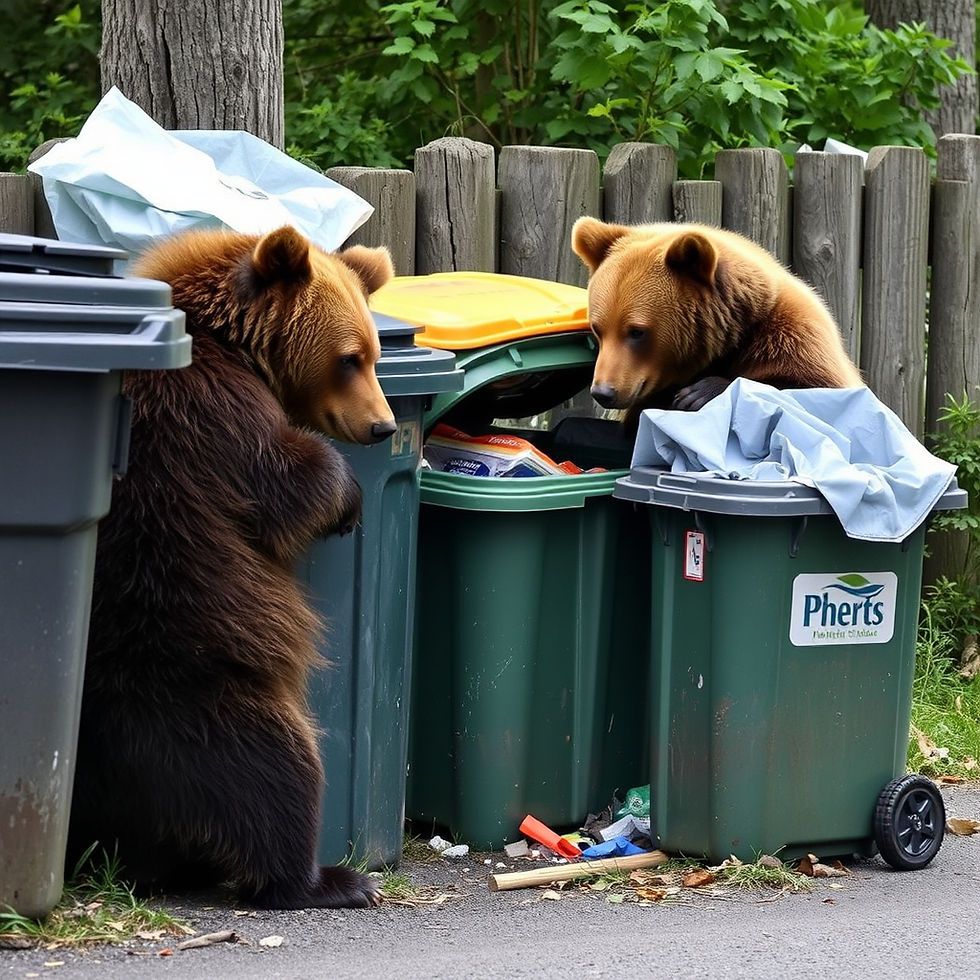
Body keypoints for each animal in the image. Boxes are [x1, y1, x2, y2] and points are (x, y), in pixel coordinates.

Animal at [67, 225, 396, 910]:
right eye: (350, 357)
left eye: (376, 353)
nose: (382, 426)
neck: (229, 341)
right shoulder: (210, 409)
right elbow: (280, 482)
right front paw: (345, 496)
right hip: (208, 699)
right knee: (281, 775)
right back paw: (330, 878)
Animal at [570, 217, 863, 413]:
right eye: (598, 329)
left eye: (637, 331)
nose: (604, 392)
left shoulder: (791, 337)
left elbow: (814, 393)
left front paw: (698, 394)